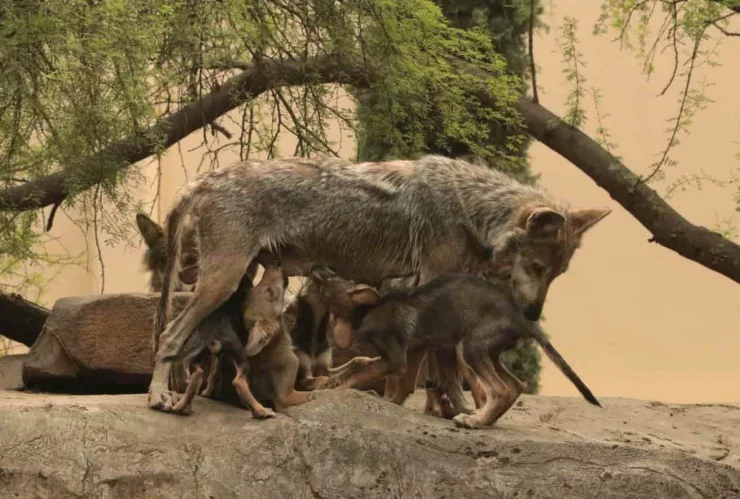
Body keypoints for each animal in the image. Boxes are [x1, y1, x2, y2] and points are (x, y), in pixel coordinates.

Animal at [309, 265, 601, 427]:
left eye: (328, 280)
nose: (313, 265)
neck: (366, 312)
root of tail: (521, 318)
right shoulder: (415, 350)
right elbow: (386, 379)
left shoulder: (396, 357)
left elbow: (361, 373)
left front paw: (329, 391)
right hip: (490, 352)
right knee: (516, 385)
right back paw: (486, 419)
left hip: (470, 347)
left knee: (501, 389)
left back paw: (474, 421)